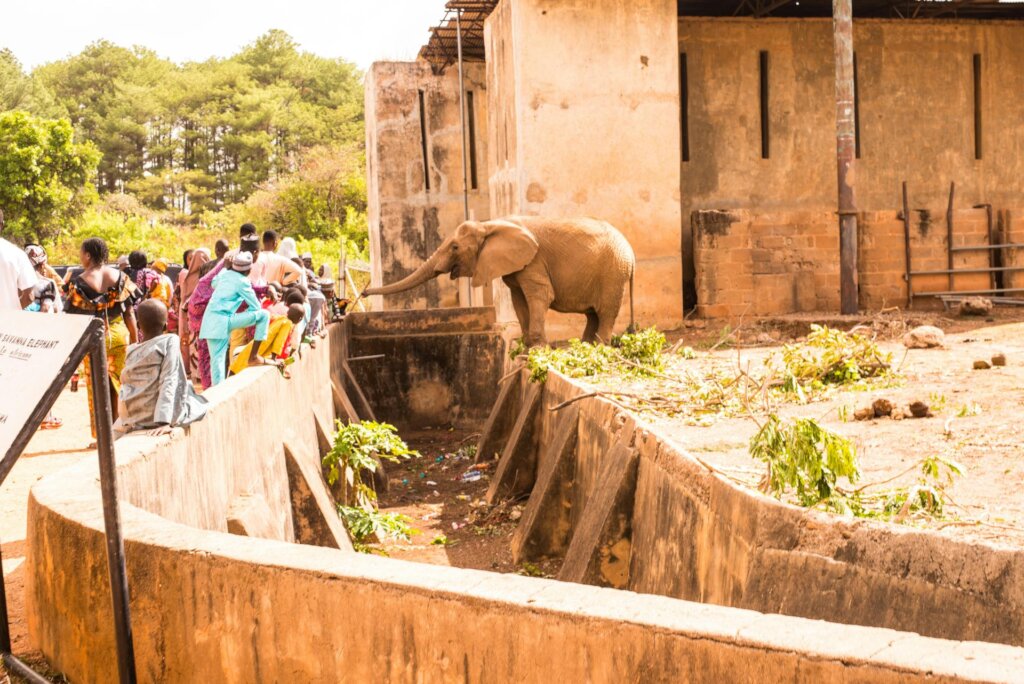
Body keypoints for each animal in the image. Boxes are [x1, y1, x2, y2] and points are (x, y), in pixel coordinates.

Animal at [363, 216, 636, 346]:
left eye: (455, 247)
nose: (364, 293)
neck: (490, 224)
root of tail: (631, 254)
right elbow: (518, 299)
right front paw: (526, 347)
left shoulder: (534, 260)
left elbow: (540, 296)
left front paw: (536, 348)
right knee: (593, 314)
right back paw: (585, 345)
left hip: (613, 273)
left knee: (605, 312)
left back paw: (598, 347)